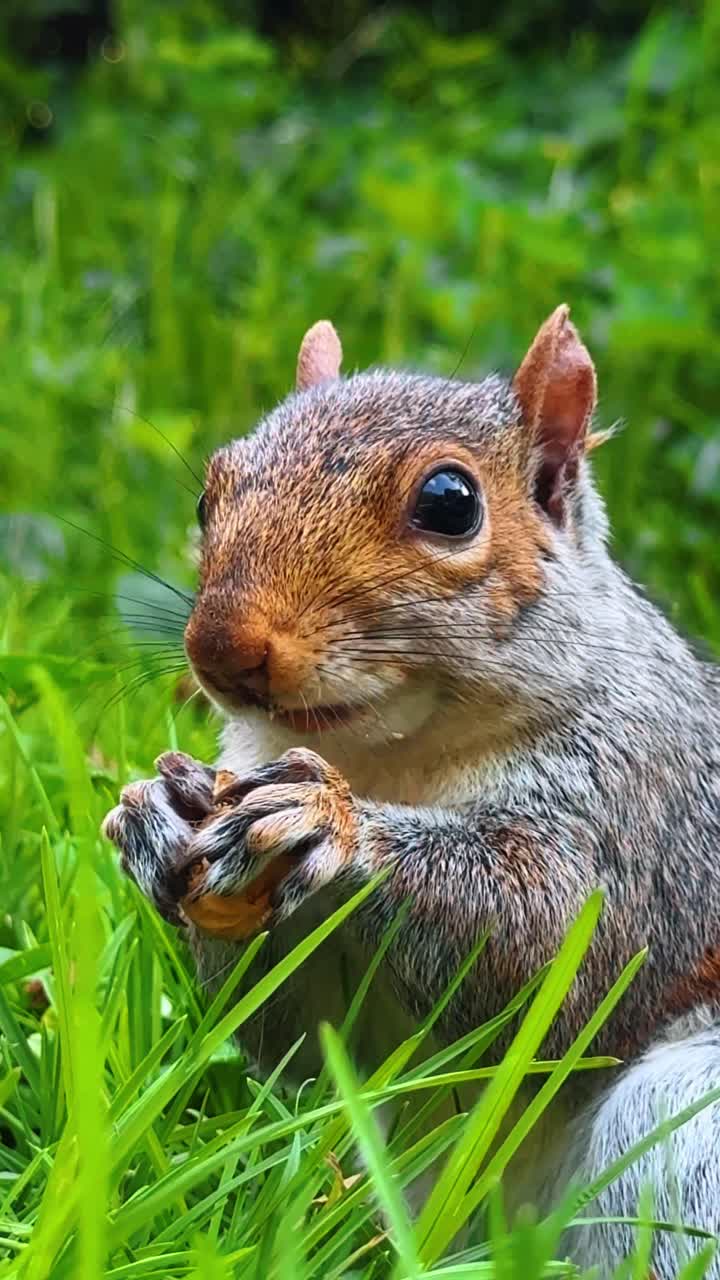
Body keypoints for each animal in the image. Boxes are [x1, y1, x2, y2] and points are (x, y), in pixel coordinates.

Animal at [103, 306, 720, 1277]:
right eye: (210, 495)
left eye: (449, 503)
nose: (220, 649)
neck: (393, 756)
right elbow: (305, 1043)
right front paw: (156, 818)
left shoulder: (642, 804)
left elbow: (554, 945)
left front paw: (330, 824)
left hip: (682, 1136)